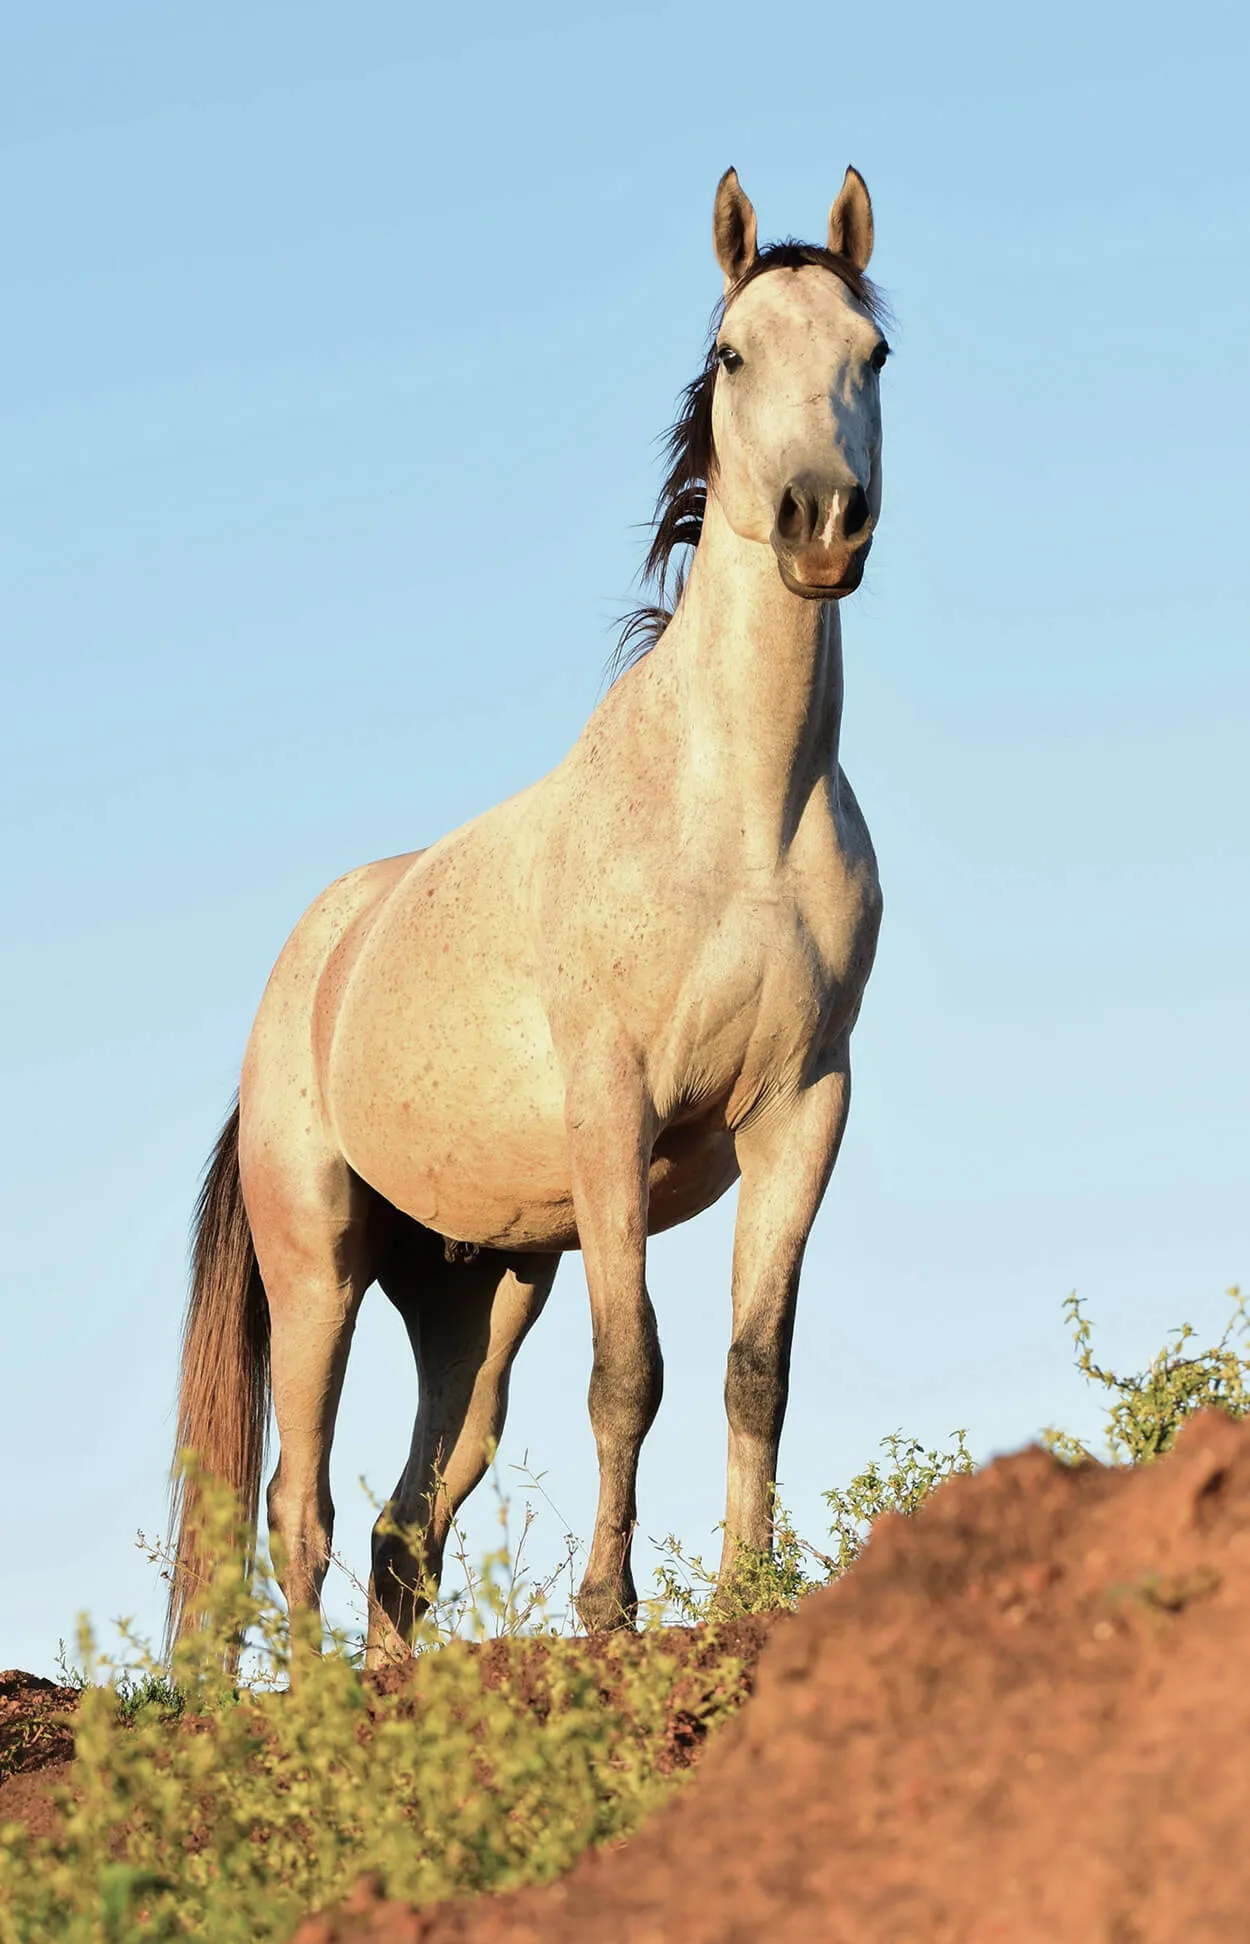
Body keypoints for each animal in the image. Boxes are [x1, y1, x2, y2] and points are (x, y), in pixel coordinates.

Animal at [169, 164, 889, 1664]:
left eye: (872, 354)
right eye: (733, 355)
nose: (821, 522)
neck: (736, 818)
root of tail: (306, 975)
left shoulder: (803, 1106)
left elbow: (753, 1370)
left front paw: (743, 1595)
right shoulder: (616, 1106)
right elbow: (631, 1373)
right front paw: (609, 1613)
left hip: (477, 1287)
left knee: (411, 1518)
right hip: (319, 1263)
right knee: (300, 1502)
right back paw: (320, 1698)